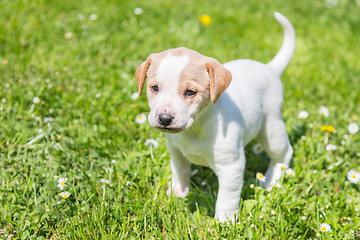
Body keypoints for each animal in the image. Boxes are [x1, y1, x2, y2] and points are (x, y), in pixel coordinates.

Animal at [135, 11, 296, 221]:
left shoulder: (231, 166)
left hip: (272, 128)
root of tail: (269, 68)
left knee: (283, 154)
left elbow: (226, 198)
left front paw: (225, 221)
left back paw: (271, 180)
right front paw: (178, 193)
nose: (164, 119)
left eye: (190, 92)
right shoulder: (176, 151)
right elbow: (180, 171)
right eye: (154, 88)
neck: (196, 128)